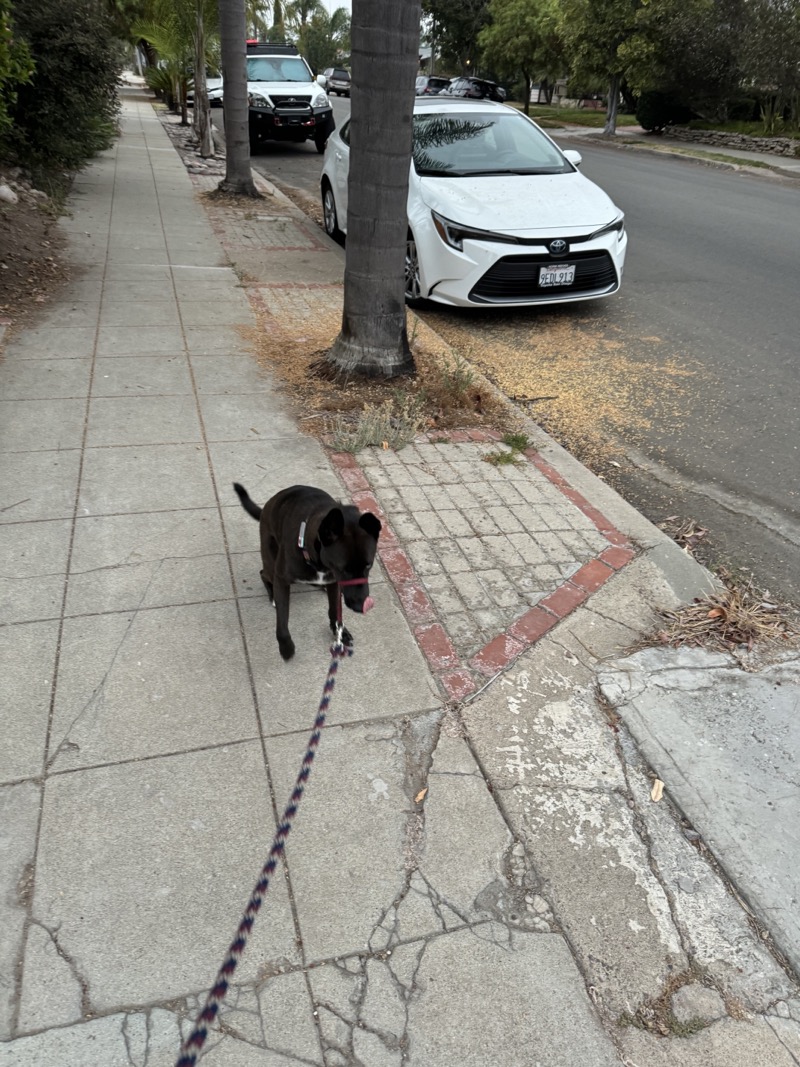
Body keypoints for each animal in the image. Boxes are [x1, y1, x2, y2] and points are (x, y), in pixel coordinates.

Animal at [233, 484, 384, 657]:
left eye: (368, 565)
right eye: (342, 568)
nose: (361, 606)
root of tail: (266, 508)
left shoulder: (334, 581)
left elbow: (334, 610)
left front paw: (340, 632)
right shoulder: (281, 579)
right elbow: (282, 620)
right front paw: (286, 646)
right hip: (270, 562)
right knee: (263, 574)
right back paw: (272, 596)